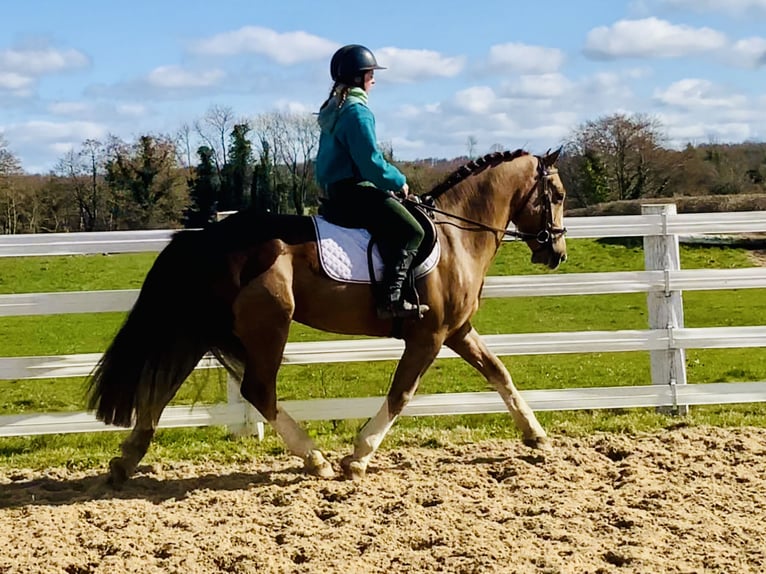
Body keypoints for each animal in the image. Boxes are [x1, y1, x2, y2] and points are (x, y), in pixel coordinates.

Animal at [88, 148, 568, 486]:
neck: (456, 236)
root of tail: (205, 237)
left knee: (162, 385)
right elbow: (401, 394)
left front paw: (536, 435)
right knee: (257, 390)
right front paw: (358, 456)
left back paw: (125, 461)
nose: (557, 253)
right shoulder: (429, 336)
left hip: (201, 328)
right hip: (268, 326)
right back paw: (314, 458)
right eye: (558, 196)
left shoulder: (458, 330)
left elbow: (499, 372)